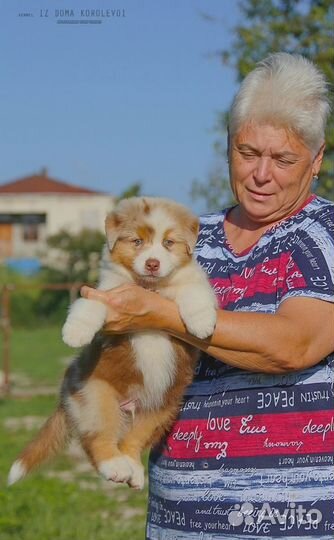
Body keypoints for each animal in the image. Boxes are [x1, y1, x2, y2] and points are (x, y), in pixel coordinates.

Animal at [8, 197, 217, 490]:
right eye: (137, 242)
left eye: (168, 243)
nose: (153, 264)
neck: (148, 286)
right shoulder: (108, 293)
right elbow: (91, 304)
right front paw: (75, 332)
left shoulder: (190, 283)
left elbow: (195, 292)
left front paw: (202, 323)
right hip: (97, 396)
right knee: (97, 438)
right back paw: (115, 466)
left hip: (163, 406)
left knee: (132, 441)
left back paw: (133, 470)